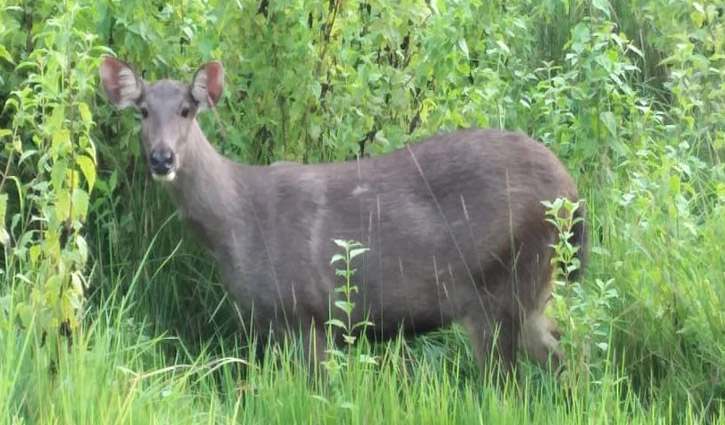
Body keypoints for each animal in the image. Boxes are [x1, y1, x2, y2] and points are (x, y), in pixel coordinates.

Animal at [100, 56, 588, 378]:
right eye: (143, 111)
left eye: (187, 110)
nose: (161, 158)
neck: (235, 224)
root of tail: (572, 192)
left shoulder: (307, 312)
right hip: (532, 290)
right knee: (569, 356)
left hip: (502, 285)